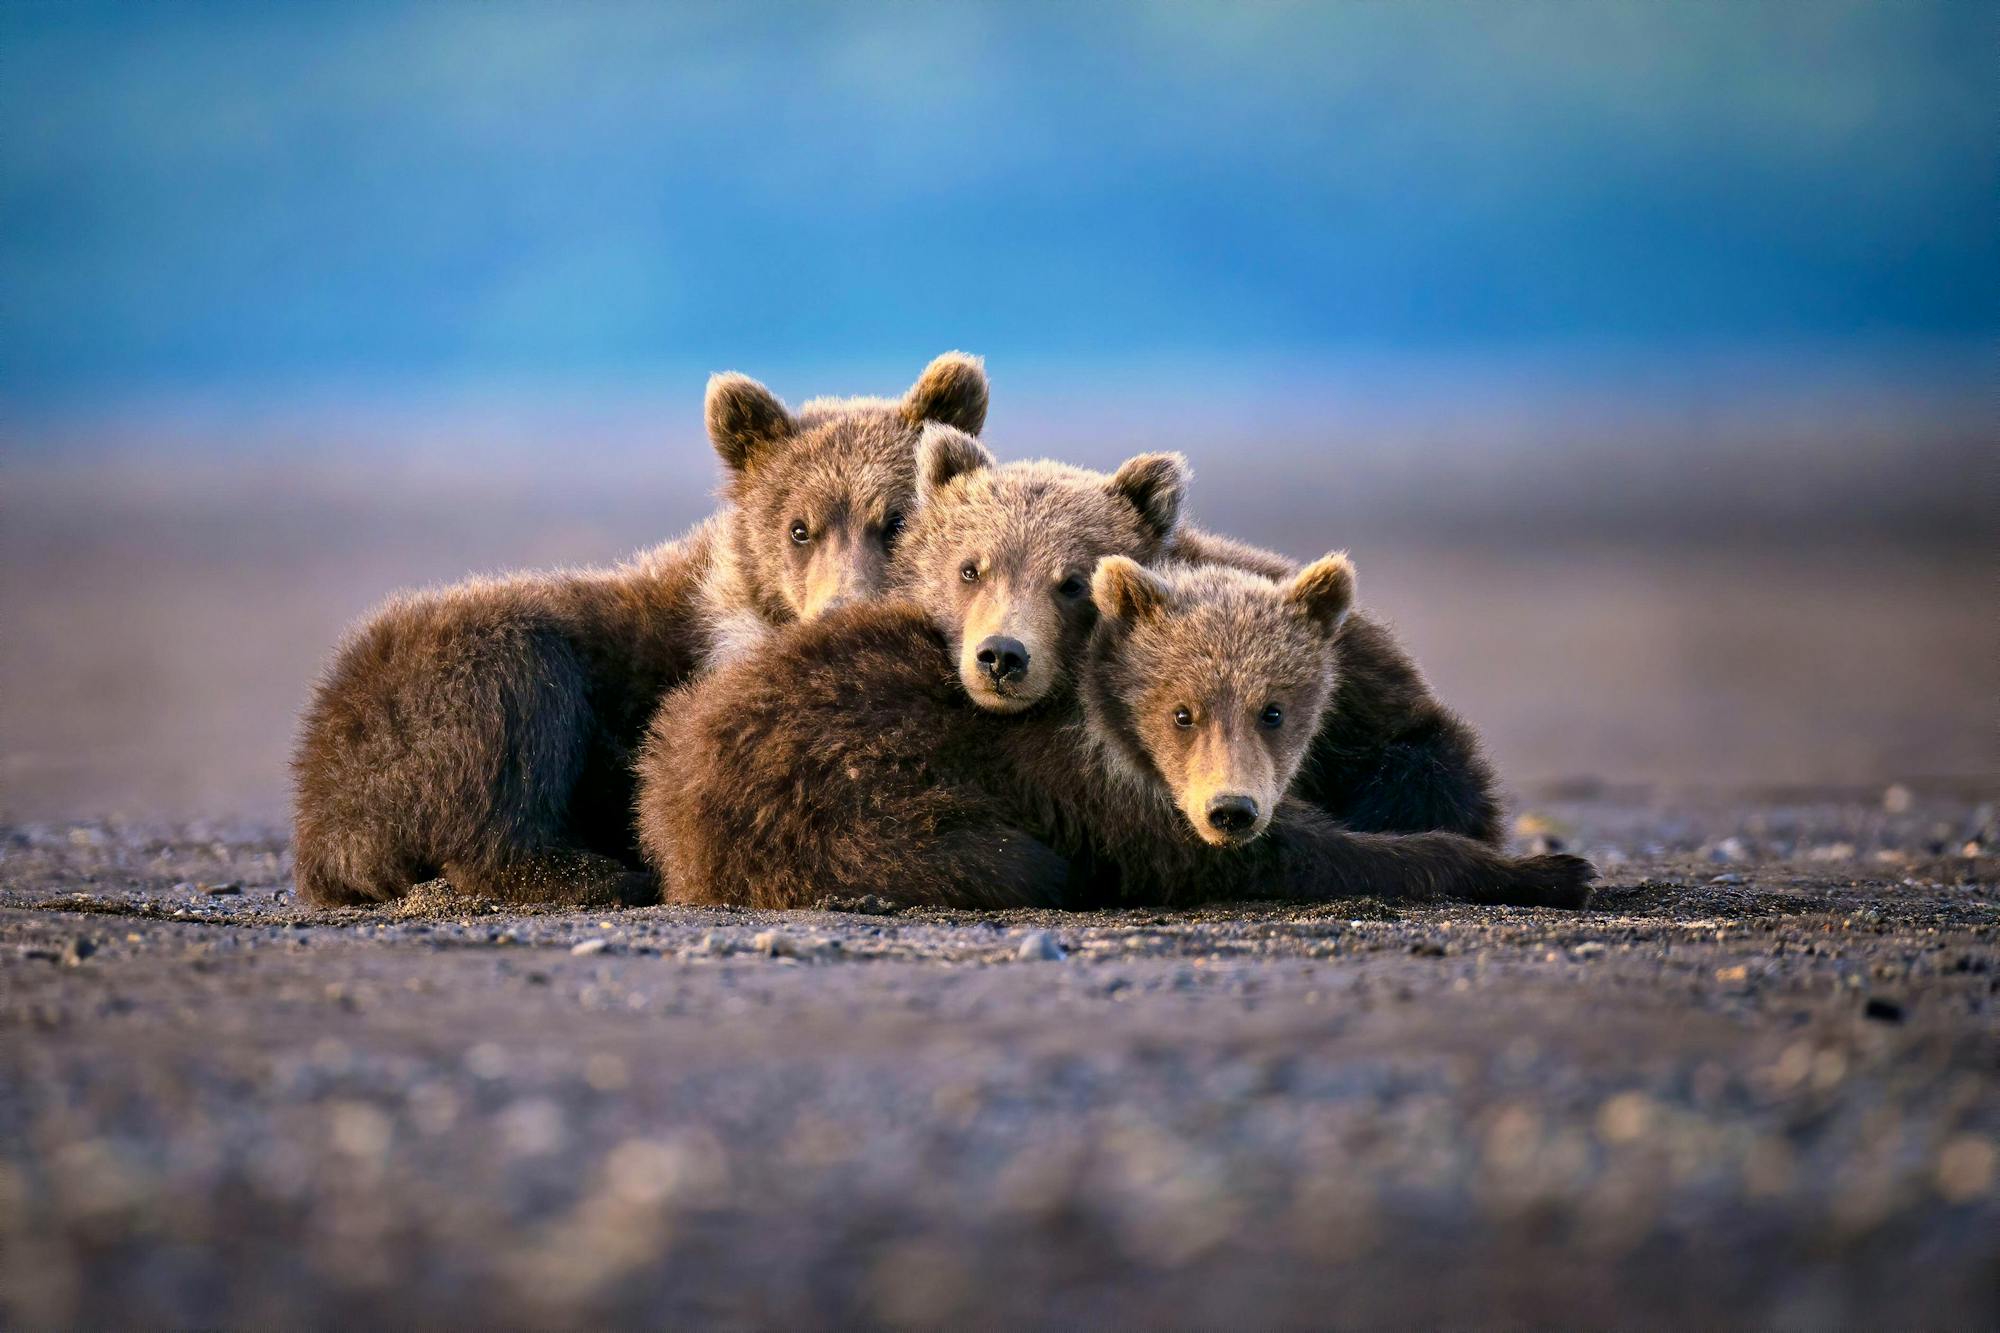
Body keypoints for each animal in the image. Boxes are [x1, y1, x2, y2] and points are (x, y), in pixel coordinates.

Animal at [635, 551, 1592, 911]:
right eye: (1182, 710)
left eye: (1275, 708)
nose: (1232, 809)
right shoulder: (1094, 788)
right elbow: (1300, 855)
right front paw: (1553, 868)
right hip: (837, 807)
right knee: (1015, 862)